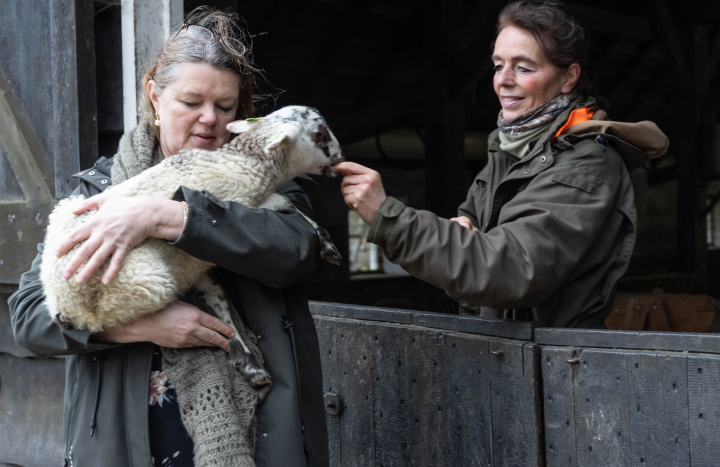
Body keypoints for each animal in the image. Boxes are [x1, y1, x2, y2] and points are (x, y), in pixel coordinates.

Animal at [39, 107, 344, 388]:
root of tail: (60, 301)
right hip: (142, 284)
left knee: (219, 305)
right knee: (115, 320)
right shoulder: (240, 200)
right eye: (319, 134)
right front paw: (330, 249)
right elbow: (285, 202)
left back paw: (251, 367)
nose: (341, 157)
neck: (245, 161)